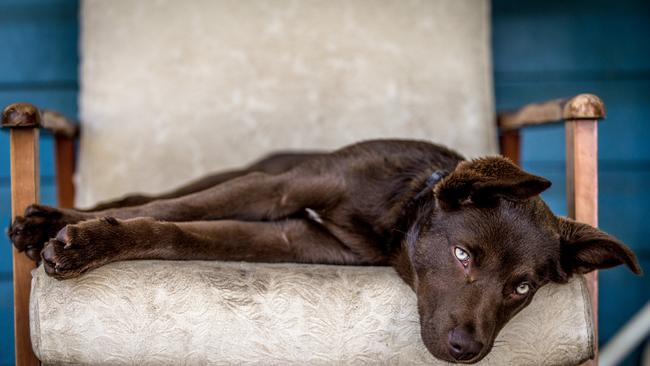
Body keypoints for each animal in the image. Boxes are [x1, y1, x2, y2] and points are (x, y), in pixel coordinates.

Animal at [8, 139, 636, 364]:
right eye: (463, 255)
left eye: (522, 288)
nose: (467, 350)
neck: (396, 212)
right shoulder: (277, 190)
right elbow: (164, 212)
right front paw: (83, 237)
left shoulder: (292, 237)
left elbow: (178, 233)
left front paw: (87, 238)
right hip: (251, 172)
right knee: (155, 195)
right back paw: (51, 219)